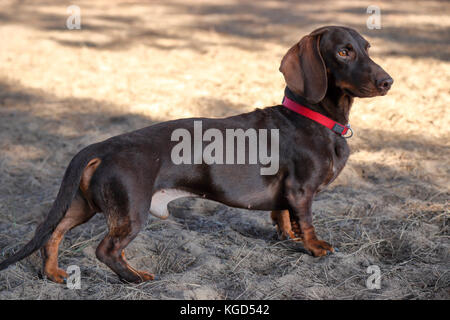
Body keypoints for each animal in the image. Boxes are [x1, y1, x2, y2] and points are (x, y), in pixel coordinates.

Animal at [0, 26, 390, 282]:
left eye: (368, 47)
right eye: (343, 51)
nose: (388, 82)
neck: (311, 118)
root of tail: (99, 146)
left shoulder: (286, 196)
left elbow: (282, 217)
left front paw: (288, 238)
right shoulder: (301, 190)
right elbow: (306, 220)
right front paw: (314, 247)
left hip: (84, 205)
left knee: (52, 234)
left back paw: (53, 273)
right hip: (131, 210)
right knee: (105, 250)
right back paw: (137, 277)